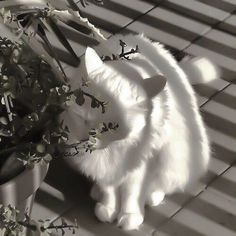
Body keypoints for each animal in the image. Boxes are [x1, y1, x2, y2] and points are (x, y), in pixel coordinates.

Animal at [60, 34, 218, 230]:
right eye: (83, 118)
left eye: (110, 127)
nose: (88, 139)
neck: (114, 149)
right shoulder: (104, 167)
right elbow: (108, 188)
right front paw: (108, 207)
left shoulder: (142, 165)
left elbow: (132, 193)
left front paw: (130, 215)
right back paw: (96, 191)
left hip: (175, 158)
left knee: (161, 185)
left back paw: (153, 196)